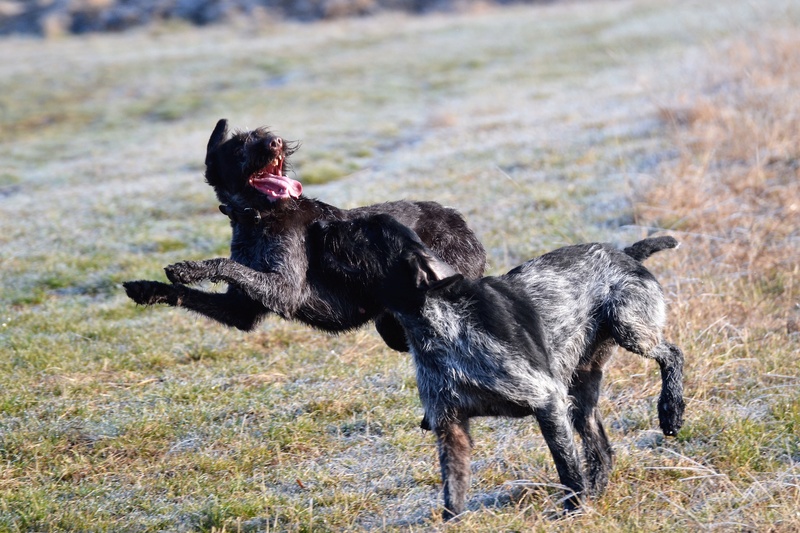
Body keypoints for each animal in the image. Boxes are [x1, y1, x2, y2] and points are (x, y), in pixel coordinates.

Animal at [123, 121, 488, 354]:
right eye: (239, 147)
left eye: (263, 135)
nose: (275, 142)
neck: (259, 217)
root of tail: (462, 223)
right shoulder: (240, 311)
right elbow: (187, 294)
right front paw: (147, 288)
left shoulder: (285, 290)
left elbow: (226, 264)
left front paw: (189, 268)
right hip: (394, 325)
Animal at [310, 213, 684, 520]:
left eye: (361, 232)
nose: (319, 225)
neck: (439, 328)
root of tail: (626, 253)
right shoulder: (450, 426)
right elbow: (453, 491)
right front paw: (453, 523)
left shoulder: (547, 400)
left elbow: (566, 466)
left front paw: (574, 509)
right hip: (582, 389)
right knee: (601, 450)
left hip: (629, 329)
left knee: (673, 354)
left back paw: (671, 410)